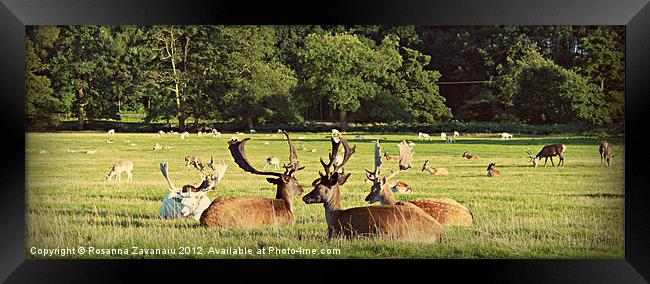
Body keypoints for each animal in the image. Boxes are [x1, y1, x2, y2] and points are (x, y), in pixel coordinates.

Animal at [302, 136, 442, 242]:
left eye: (319, 186)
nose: (305, 197)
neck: (335, 215)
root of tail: (440, 233)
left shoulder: (335, 232)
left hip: (384, 233)